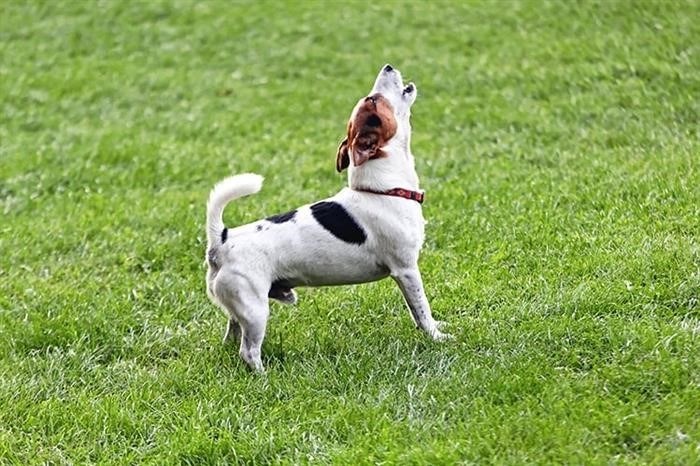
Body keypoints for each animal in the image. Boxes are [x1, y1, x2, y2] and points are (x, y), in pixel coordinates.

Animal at [205, 64, 452, 372]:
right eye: (373, 100)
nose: (388, 66)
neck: (382, 189)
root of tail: (221, 240)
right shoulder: (406, 270)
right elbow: (421, 309)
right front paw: (436, 336)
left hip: (239, 306)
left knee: (231, 333)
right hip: (255, 309)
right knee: (248, 351)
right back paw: (264, 375)